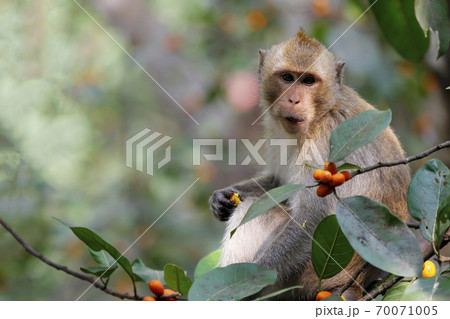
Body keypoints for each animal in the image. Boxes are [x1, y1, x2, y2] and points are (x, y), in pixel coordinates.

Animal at [209, 28, 410, 302]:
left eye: (308, 81)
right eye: (287, 77)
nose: (293, 100)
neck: (321, 113)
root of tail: (356, 285)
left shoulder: (324, 142)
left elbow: (312, 216)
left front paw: (248, 282)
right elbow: (279, 182)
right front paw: (223, 197)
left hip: (310, 278)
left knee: (255, 209)